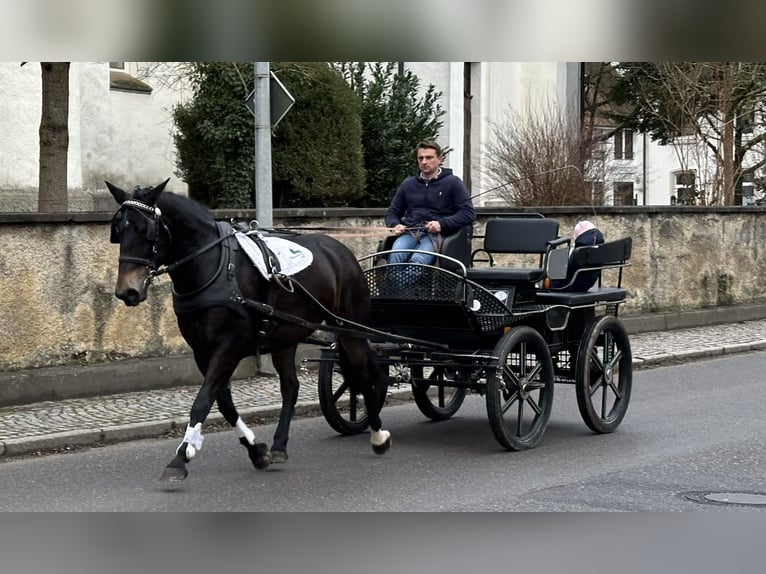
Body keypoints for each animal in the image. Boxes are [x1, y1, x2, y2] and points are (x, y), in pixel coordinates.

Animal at [106, 179, 392, 482]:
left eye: (146, 230)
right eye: (118, 230)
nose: (127, 291)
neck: (215, 266)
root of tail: (341, 251)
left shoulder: (229, 347)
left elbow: (203, 401)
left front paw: (180, 457)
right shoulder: (202, 350)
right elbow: (223, 403)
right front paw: (257, 450)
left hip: (349, 327)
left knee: (362, 375)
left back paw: (378, 434)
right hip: (286, 336)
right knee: (291, 387)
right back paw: (279, 445)